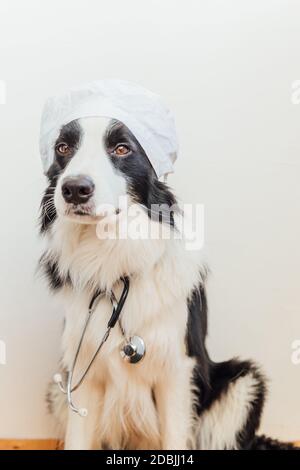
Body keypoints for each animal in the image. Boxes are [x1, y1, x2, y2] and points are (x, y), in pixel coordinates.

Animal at [40, 115, 296, 450]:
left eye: (122, 148)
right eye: (63, 147)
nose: (74, 189)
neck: (112, 256)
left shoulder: (177, 369)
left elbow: (175, 434)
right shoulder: (82, 368)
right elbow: (77, 438)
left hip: (243, 381)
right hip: (57, 391)